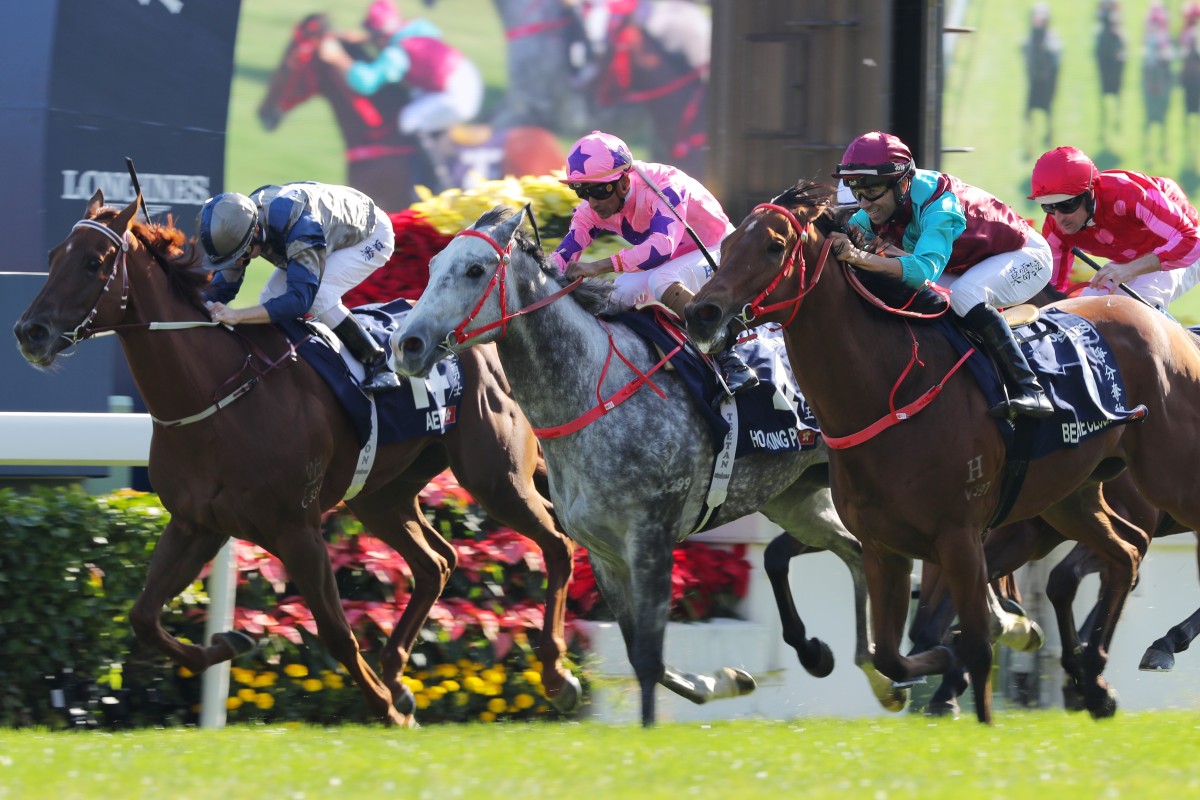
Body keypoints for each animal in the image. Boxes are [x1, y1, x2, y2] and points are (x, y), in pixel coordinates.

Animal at [11, 191, 578, 724]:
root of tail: (481, 337)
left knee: (557, 542)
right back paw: (398, 674)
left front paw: (386, 710)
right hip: (381, 495)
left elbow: (335, 631)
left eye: (95, 262)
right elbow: (144, 617)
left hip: (495, 476)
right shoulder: (198, 523)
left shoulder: (296, 529)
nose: (29, 332)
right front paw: (229, 643)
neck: (216, 395)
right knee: (437, 562)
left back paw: (555, 672)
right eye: (54, 255)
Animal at [388, 205, 1036, 724]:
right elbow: (641, 653)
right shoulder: (603, 551)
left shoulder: (649, 538)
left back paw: (984, 633)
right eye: (433, 265)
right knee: (856, 552)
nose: (408, 344)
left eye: (475, 270)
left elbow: (650, 657)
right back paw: (875, 669)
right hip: (799, 497)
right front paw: (723, 680)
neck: (592, 393)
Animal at [686, 183, 1200, 724]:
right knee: (1124, 552)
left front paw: (978, 689)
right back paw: (1097, 682)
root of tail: (1172, 331)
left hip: (1167, 478)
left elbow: (971, 642)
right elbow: (893, 653)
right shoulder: (883, 545)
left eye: (774, 246)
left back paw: (1150, 650)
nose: (701, 313)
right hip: (1070, 498)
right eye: (726, 246)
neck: (890, 389)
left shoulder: (961, 537)